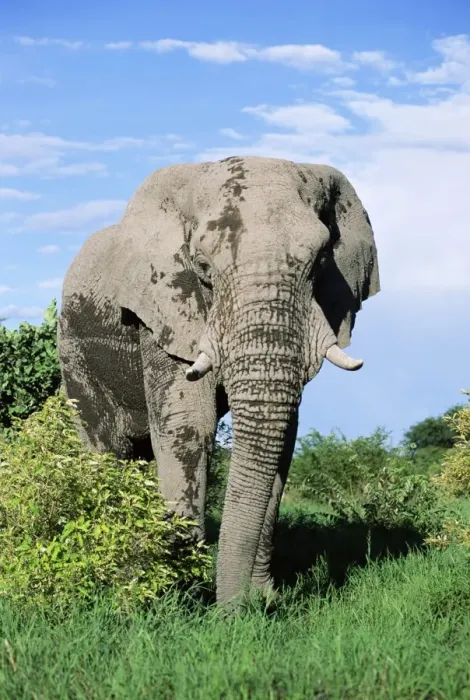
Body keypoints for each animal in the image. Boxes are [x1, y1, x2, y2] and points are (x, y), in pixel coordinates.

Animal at [57, 155, 380, 607]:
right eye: (203, 267)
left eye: (319, 261)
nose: (234, 612)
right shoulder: (163, 310)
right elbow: (190, 425)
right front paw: (179, 596)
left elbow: (281, 440)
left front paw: (261, 598)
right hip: (73, 351)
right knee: (106, 451)